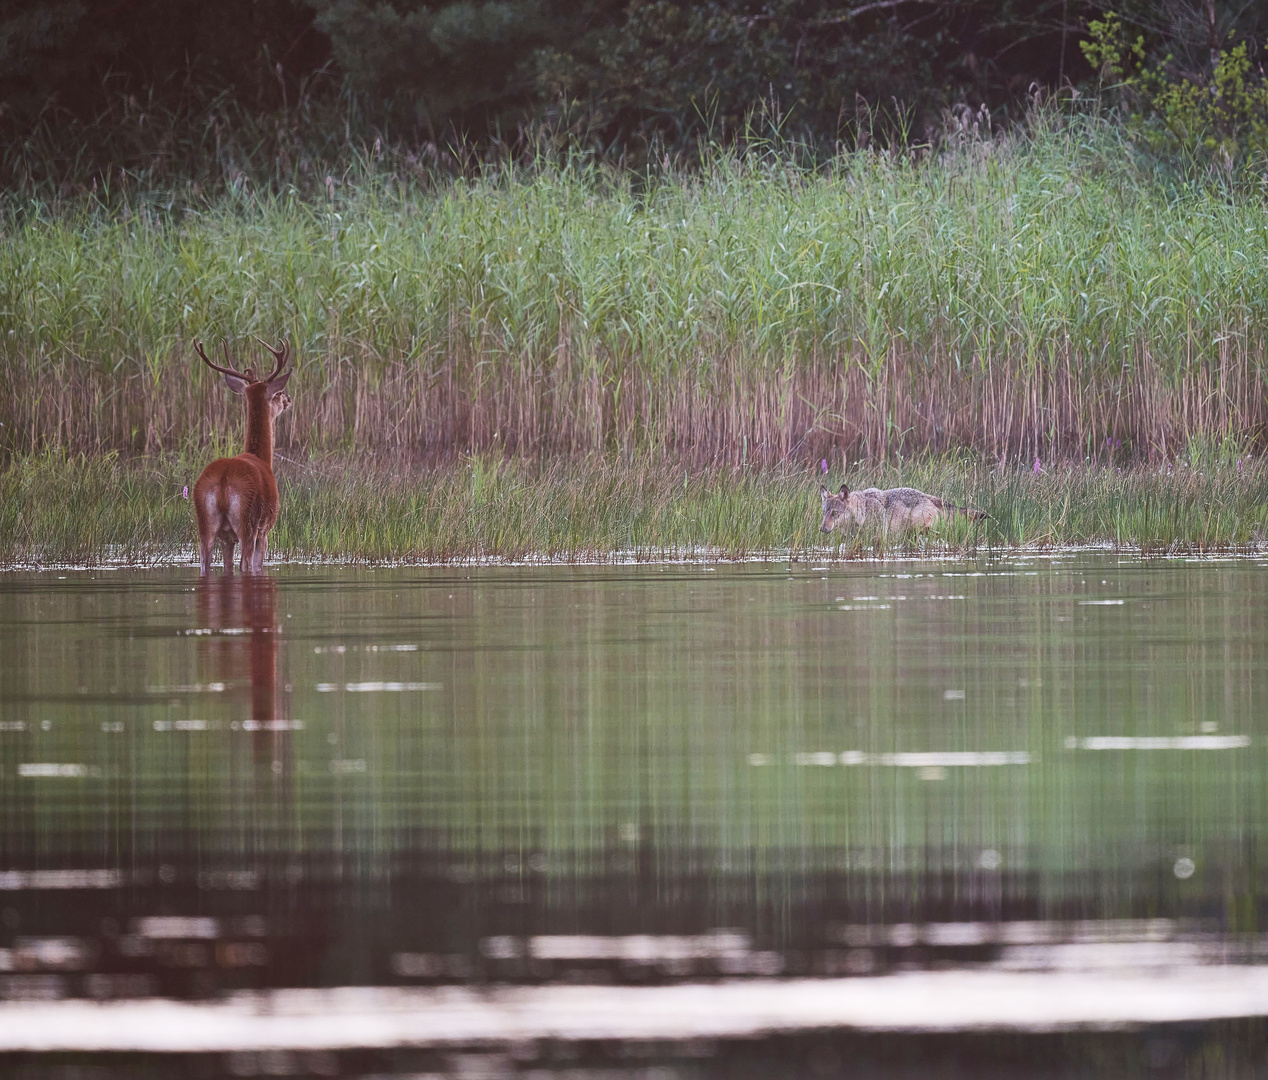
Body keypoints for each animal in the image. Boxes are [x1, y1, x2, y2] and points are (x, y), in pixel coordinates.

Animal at [192, 339, 294, 572]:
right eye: (278, 394)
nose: (288, 399)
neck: (262, 458)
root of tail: (223, 481)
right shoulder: (265, 530)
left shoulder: (227, 538)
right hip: (248, 520)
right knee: (246, 563)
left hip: (205, 521)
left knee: (205, 561)